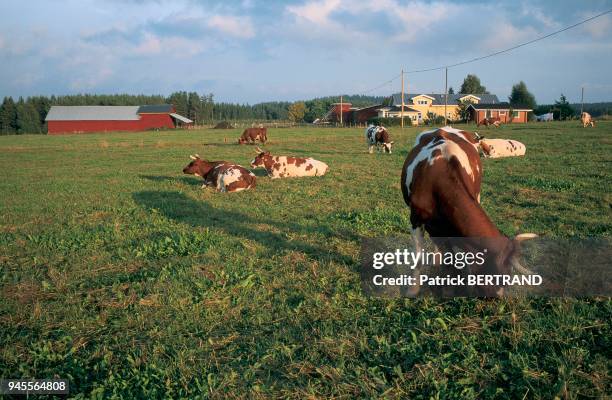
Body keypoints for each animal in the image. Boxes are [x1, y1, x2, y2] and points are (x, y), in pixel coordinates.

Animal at [402, 126, 536, 296]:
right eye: (502, 274)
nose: (497, 297)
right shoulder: (416, 219)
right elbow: (419, 257)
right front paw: (413, 290)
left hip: (477, 195)